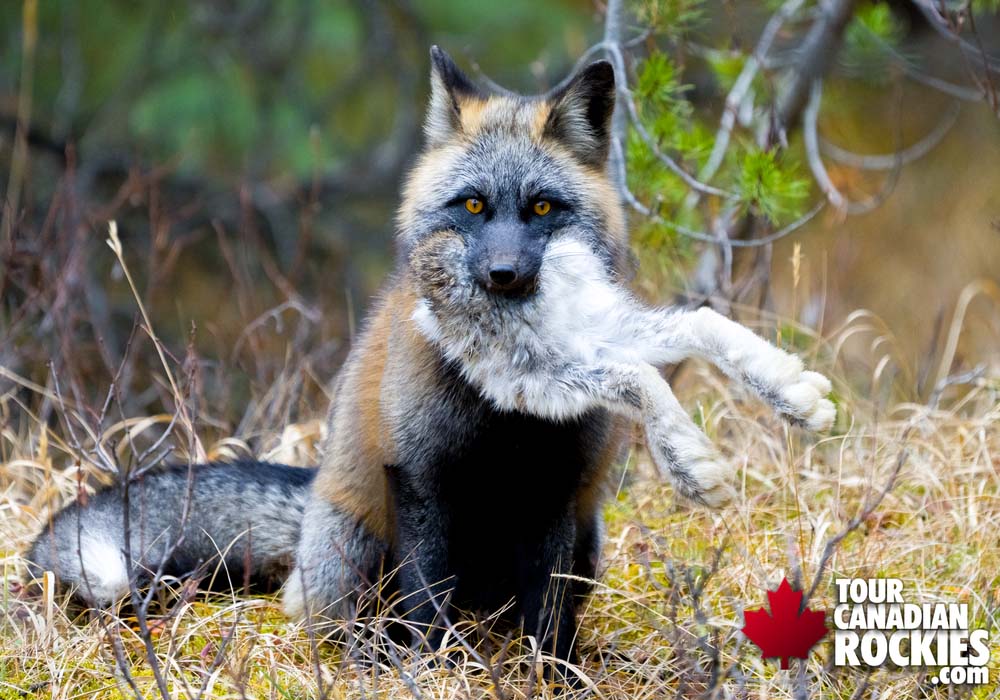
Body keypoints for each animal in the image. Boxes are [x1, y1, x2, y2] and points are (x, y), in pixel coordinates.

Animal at [25, 46, 836, 668]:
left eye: (543, 208)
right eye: (472, 205)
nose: (503, 278)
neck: (506, 424)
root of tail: (309, 504)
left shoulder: (557, 482)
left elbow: (689, 328)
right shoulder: (424, 474)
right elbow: (426, 600)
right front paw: (431, 669)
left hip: (588, 537)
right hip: (354, 549)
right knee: (345, 622)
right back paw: (374, 656)